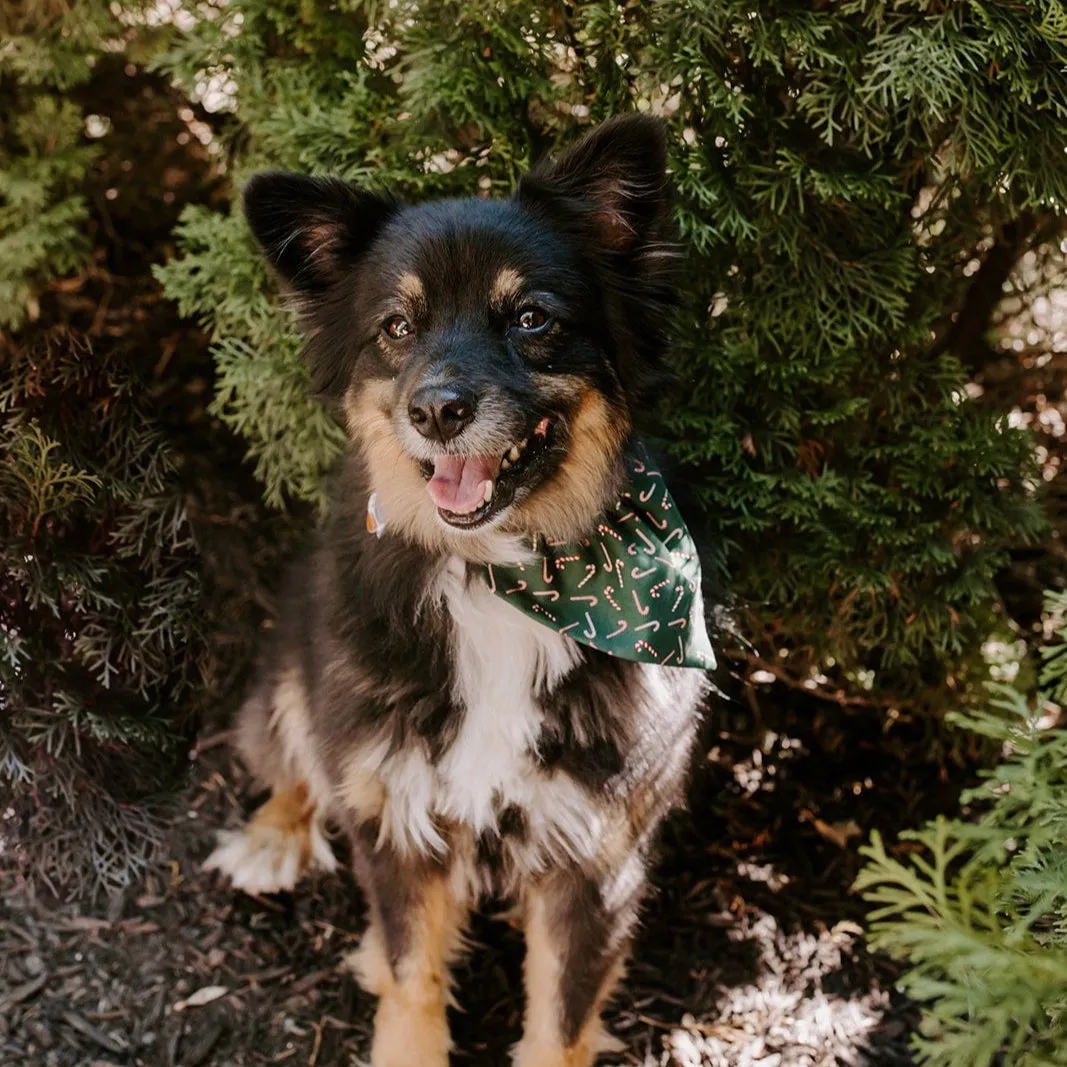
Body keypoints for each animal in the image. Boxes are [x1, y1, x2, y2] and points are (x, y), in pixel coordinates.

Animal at [203, 116, 712, 1067]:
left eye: (532, 317)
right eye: (396, 326)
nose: (436, 410)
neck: (498, 578)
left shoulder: (596, 858)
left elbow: (560, 1019)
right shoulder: (396, 815)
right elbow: (412, 974)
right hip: (300, 663)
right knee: (291, 751)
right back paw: (270, 835)